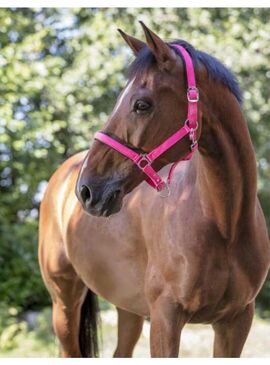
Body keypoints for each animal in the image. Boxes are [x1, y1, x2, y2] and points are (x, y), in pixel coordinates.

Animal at [38, 22, 270, 356]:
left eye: (141, 104)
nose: (87, 190)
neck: (225, 223)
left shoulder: (236, 322)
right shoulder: (165, 319)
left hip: (128, 308)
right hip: (64, 304)